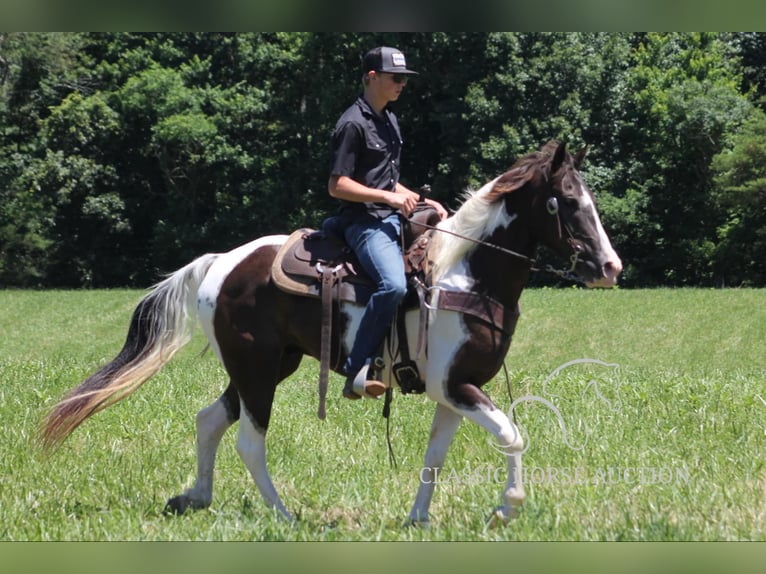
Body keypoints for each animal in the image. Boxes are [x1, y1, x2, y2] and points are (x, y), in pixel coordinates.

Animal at [40, 140, 624, 528]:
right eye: (568, 201)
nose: (610, 267)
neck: (463, 274)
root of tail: (220, 262)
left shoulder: (453, 391)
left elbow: (435, 458)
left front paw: (417, 520)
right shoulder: (456, 387)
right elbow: (511, 434)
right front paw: (506, 507)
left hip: (267, 366)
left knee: (209, 421)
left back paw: (196, 498)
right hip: (257, 370)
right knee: (250, 440)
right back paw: (283, 514)